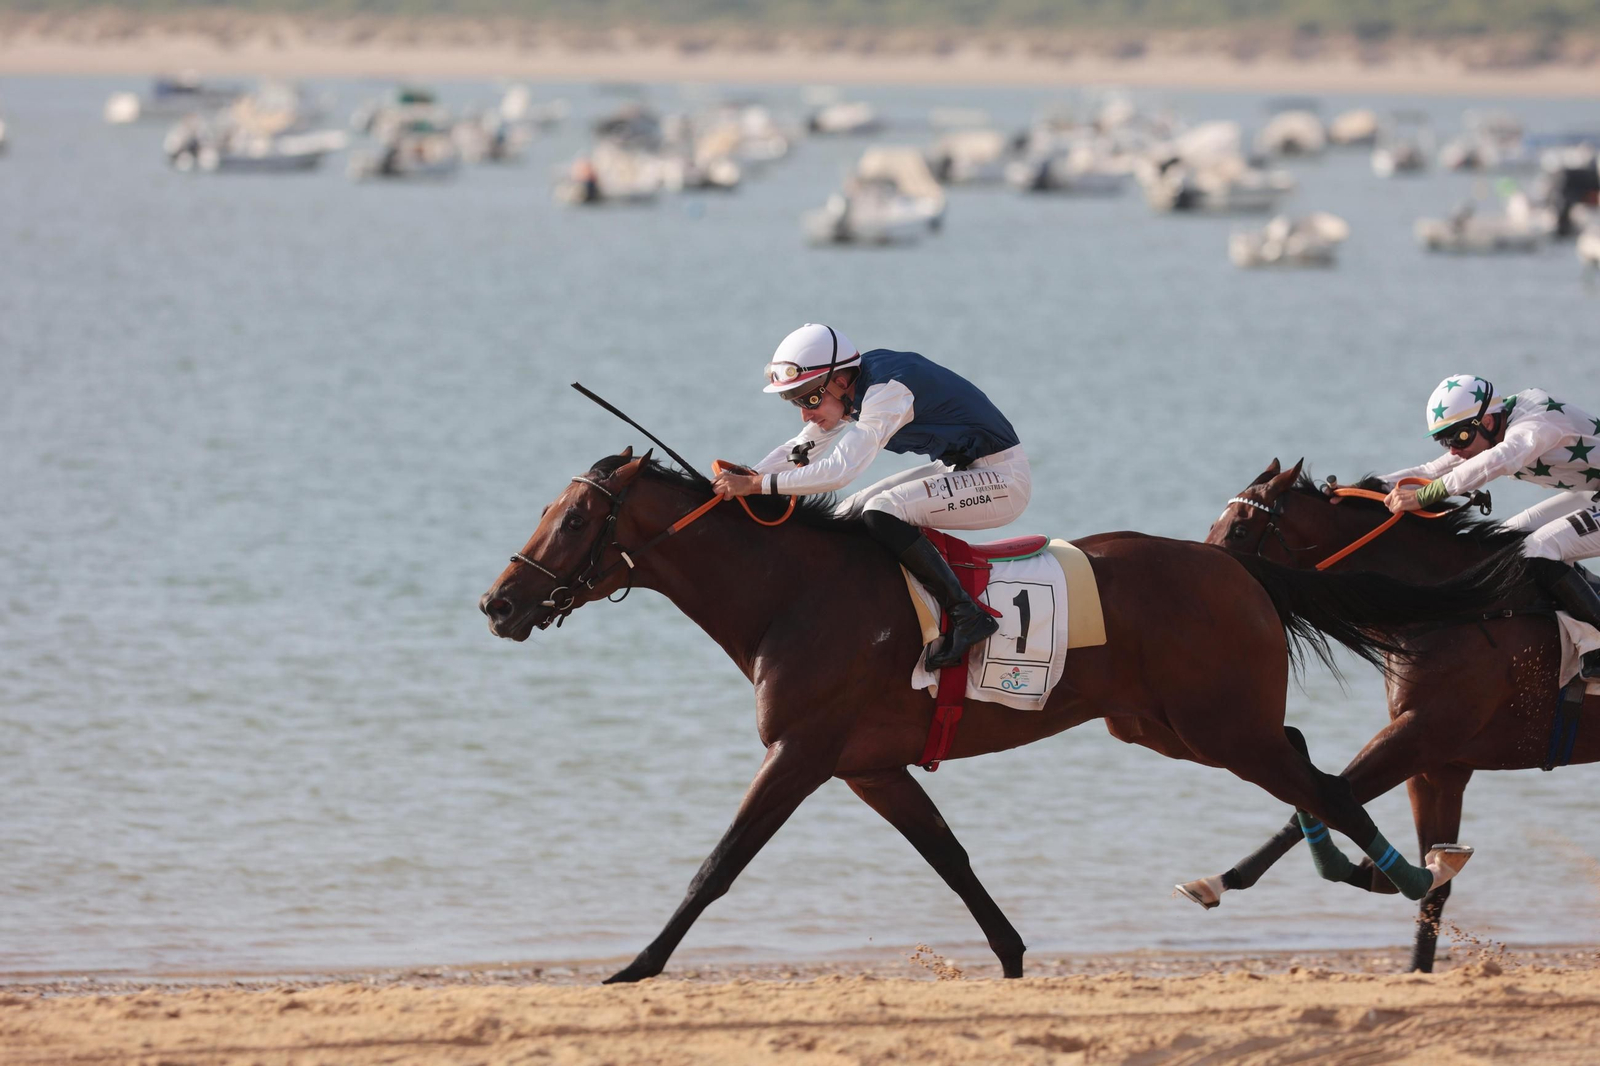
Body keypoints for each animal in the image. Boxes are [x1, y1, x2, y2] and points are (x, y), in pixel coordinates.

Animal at [478, 448, 1527, 983]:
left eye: (575, 520)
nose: (499, 603)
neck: (792, 592)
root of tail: (1233, 562)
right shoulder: (868, 766)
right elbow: (950, 858)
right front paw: (1015, 956)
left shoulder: (802, 752)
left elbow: (718, 864)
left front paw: (635, 968)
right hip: (1169, 726)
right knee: (1309, 759)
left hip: (1218, 727)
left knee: (1328, 782)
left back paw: (1401, 873)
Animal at [1174, 458, 1597, 972]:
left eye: (1239, 528)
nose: (1200, 585)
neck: (1466, 605)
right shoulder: (1439, 765)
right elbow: (1434, 885)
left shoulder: (1419, 735)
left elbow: (1331, 793)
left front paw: (1220, 881)